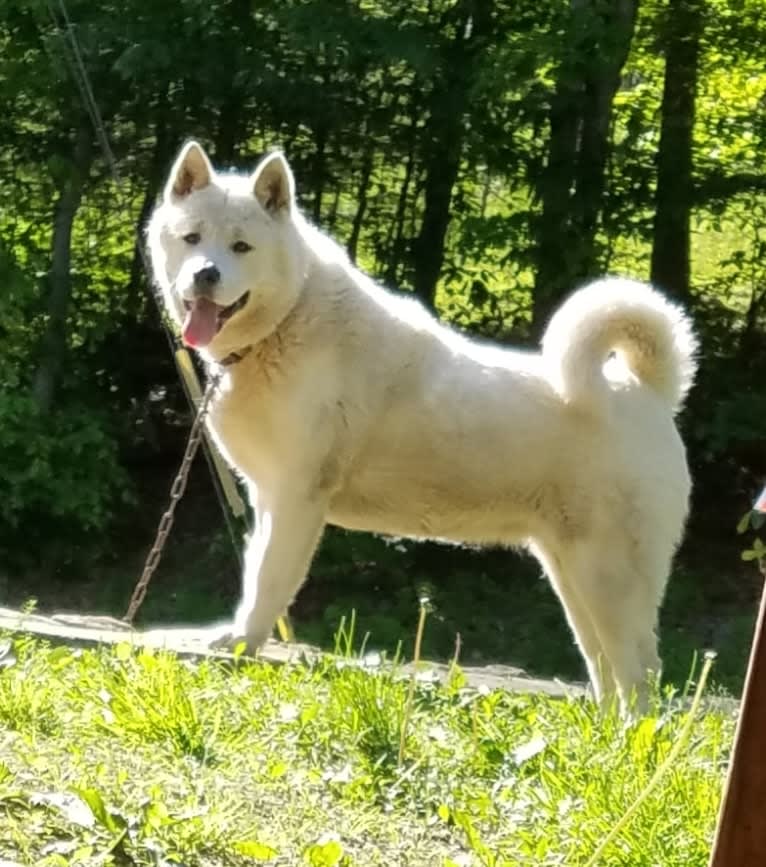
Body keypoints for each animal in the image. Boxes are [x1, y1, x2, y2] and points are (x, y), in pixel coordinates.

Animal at [147, 141, 700, 712]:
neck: (287, 321)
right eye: (192, 237)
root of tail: (647, 389)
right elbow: (256, 569)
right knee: (606, 667)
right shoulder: (267, 496)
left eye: (242, 246)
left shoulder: (298, 497)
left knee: (640, 673)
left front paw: (243, 641)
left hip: (609, 576)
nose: (205, 275)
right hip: (571, 572)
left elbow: (269, 579)